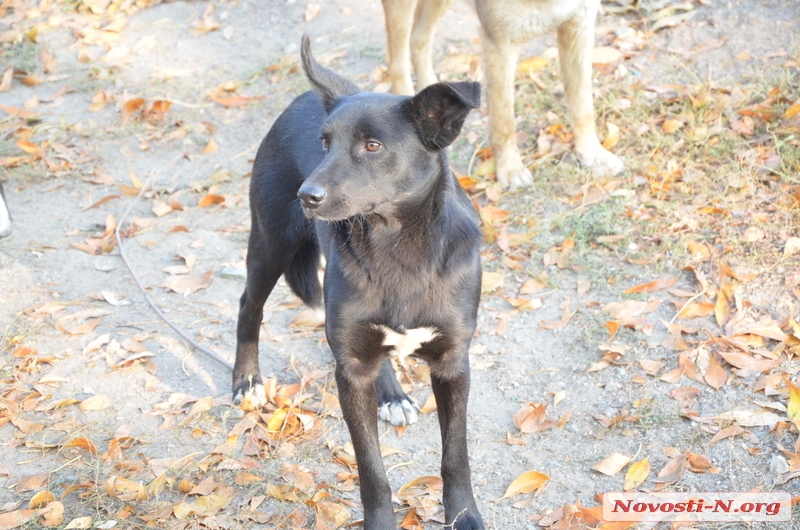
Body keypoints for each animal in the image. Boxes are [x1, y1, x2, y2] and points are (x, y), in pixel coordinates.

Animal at [231, 35, 482, 524]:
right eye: (324, 144)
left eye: (373, 145)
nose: (307, 196)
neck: (397, 245)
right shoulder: (349, 370)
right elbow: (371, 470)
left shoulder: (452, 363)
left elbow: (456, 456)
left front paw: (465, 516)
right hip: (271, 243)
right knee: (249, 305)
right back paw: (247, 381)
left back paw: (391, 394)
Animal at [382, 0, 624, 188]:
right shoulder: (500, 43)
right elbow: (503, 119)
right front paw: (510, 168)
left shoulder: (579, 26)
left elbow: (582, 104)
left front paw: (593, 154)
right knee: (398, 62)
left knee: (418, 39)